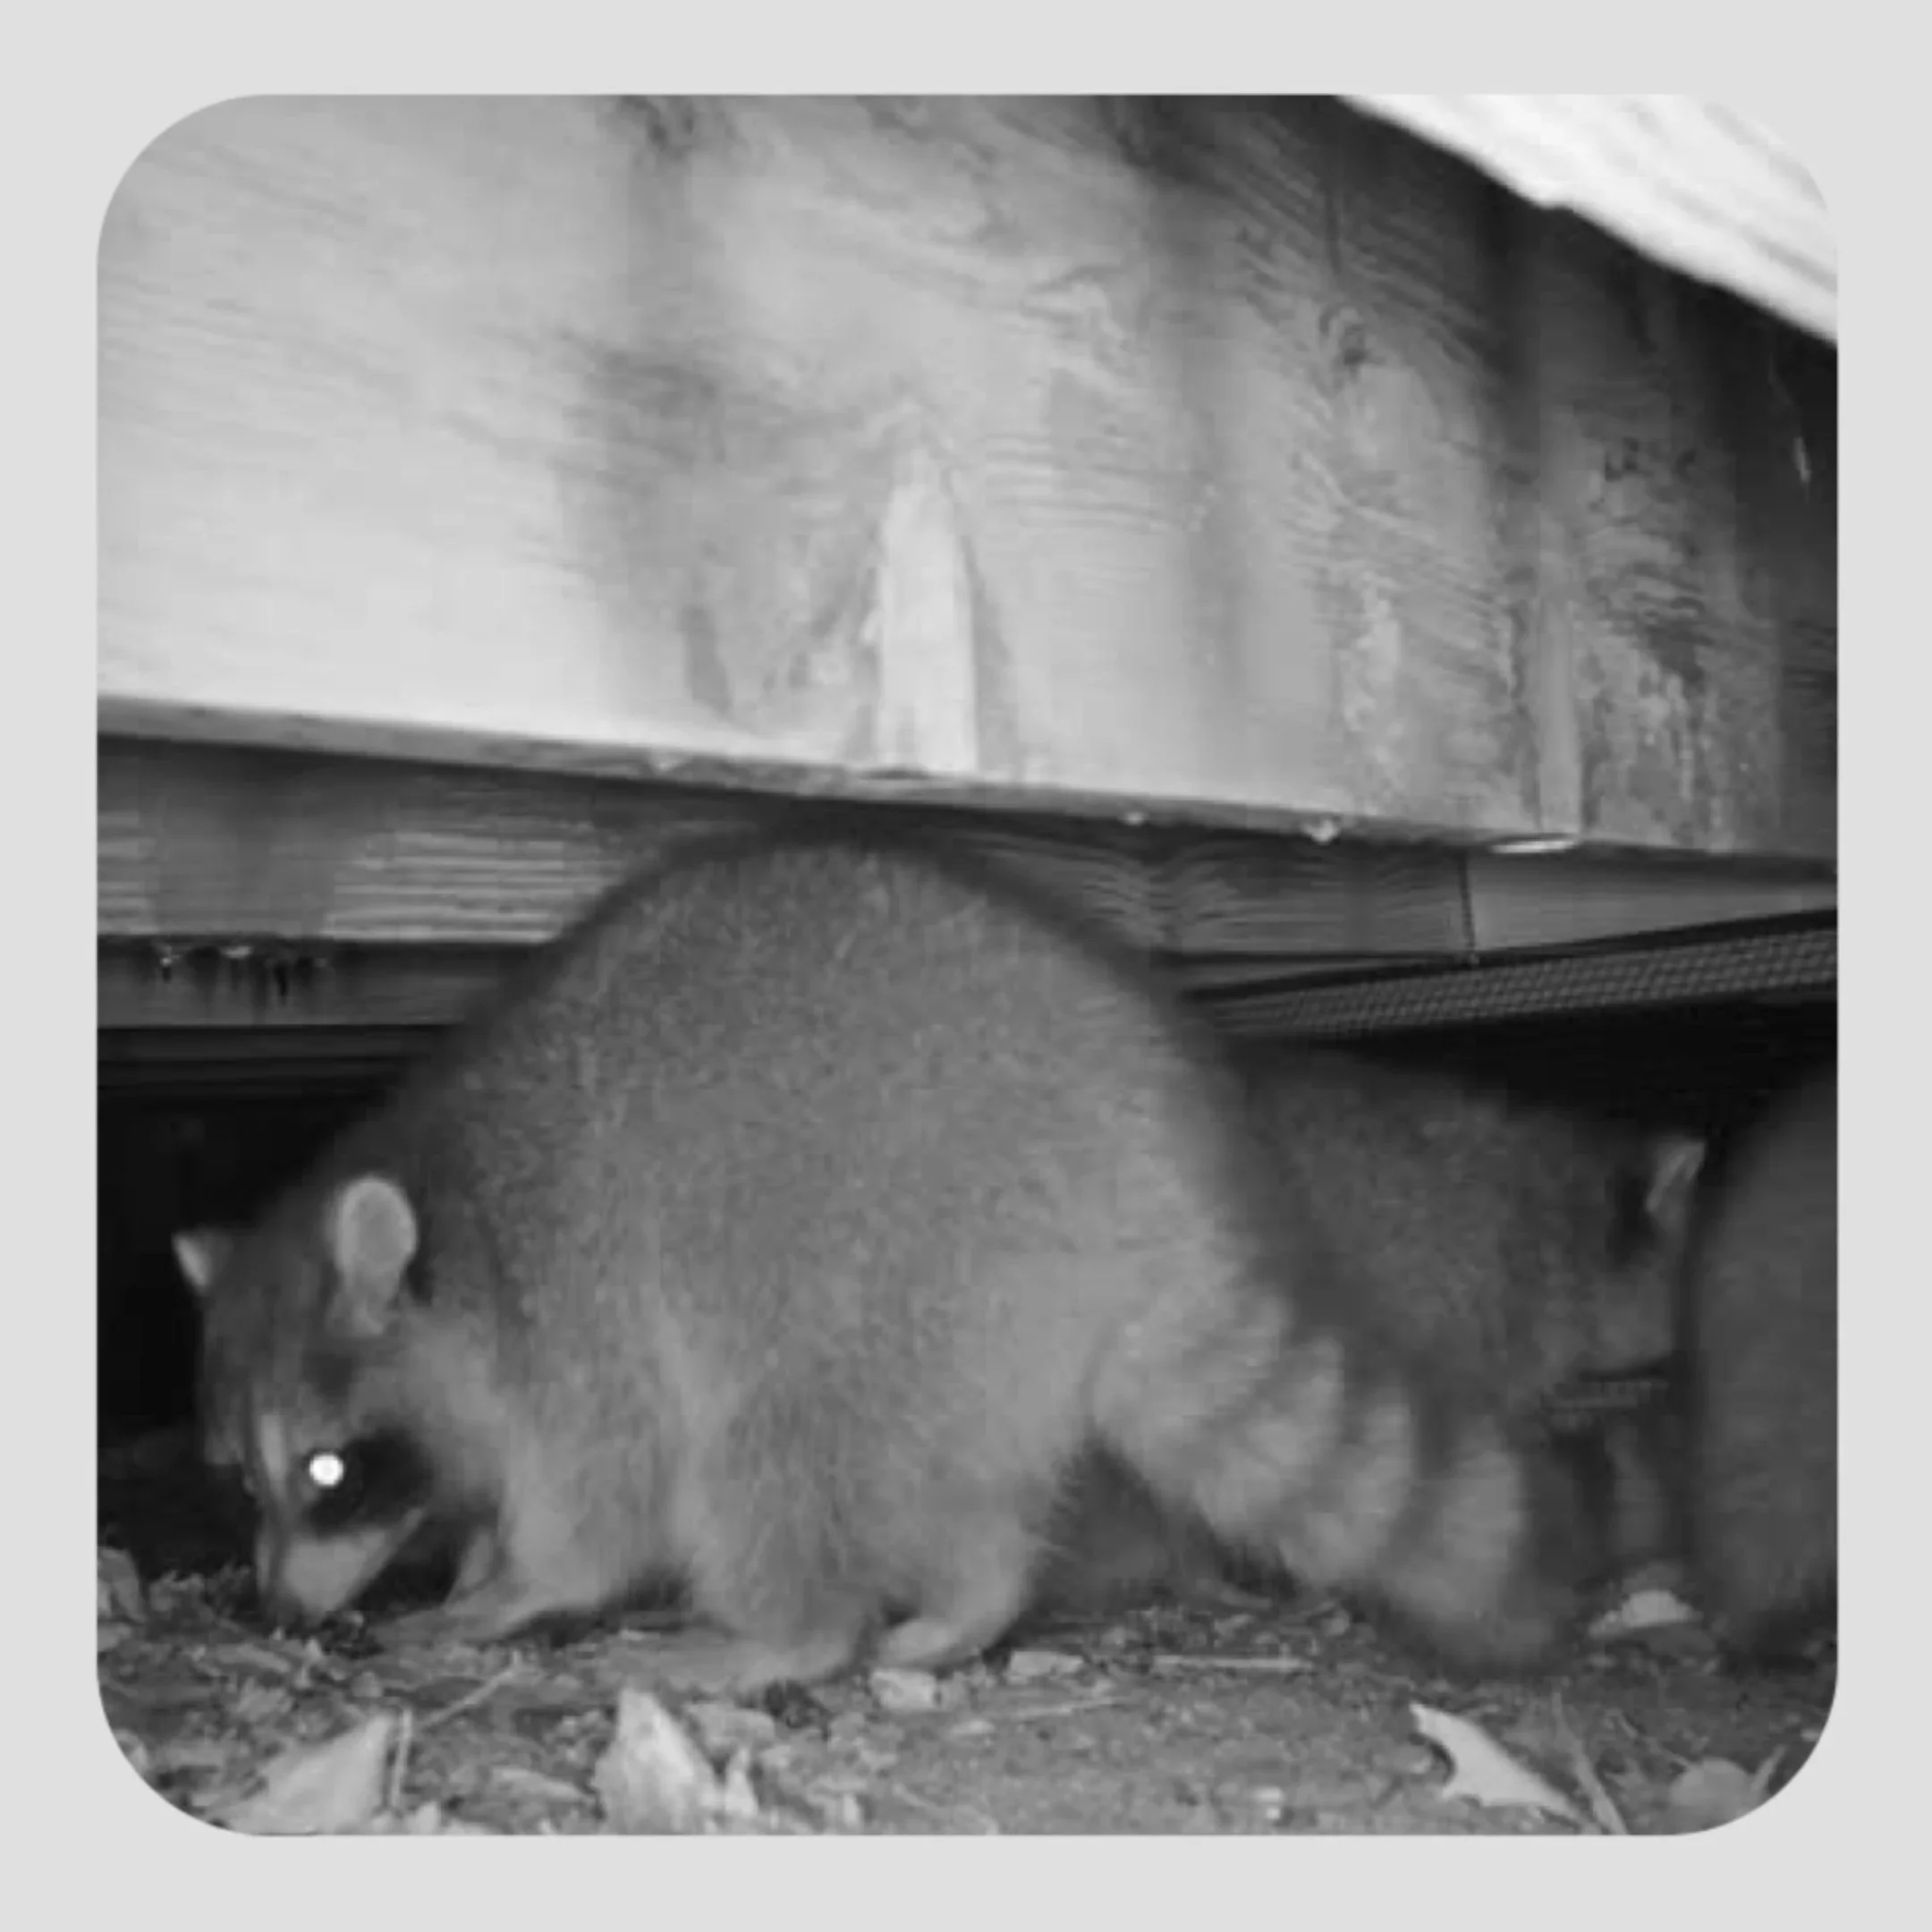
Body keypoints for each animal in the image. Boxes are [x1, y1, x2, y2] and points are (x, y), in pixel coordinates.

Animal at [175, 826, 1598, 1693]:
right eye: (238, 1478)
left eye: (326, 1469)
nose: (277, 1614)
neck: (453, 1210)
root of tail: (1163, 1196)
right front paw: (471, 1558)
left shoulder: (573, 1319)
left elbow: (603, 1507)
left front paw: (510, 1587)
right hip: (972, 1342)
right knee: (957, 1500)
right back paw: (970, 1603)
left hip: (893, 1269)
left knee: (759, 1460)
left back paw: (781, 1635)